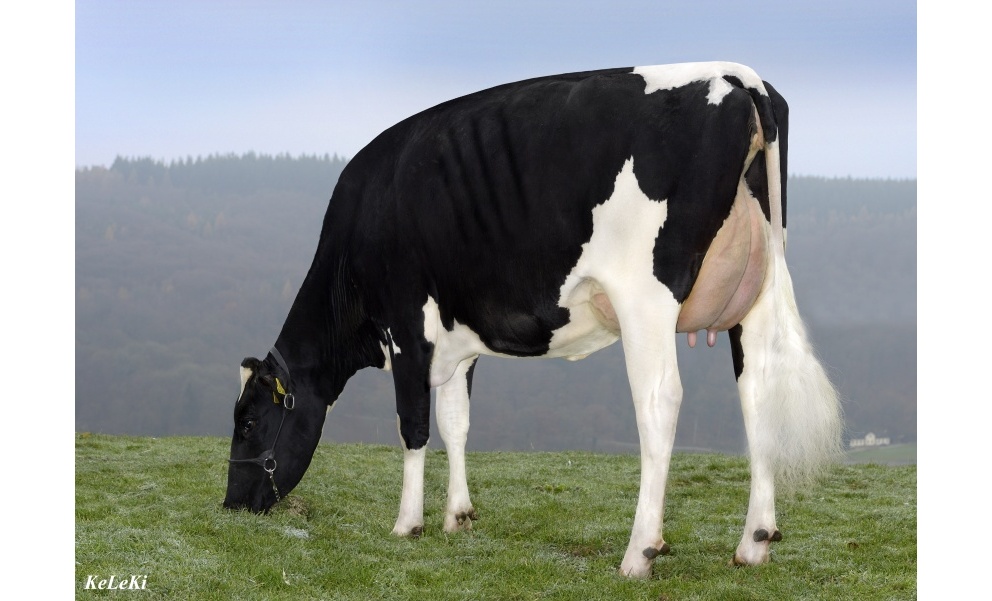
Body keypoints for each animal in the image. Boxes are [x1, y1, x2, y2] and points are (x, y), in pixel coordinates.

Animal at [224, 62, 843, 579]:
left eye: (248, 422)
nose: (229, 506)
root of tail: (736, 75)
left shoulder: (405, 326)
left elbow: (413, 424)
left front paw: (407, 523)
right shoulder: (457, 339)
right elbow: (456, 422)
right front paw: (458, 516)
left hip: (645, 296)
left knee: (660, 402)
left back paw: (639, 552)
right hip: (754, 293)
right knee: (758, 396)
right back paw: (754, 542)